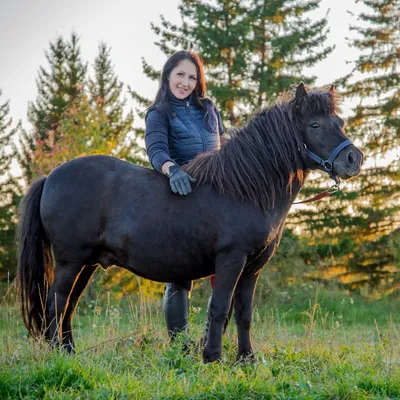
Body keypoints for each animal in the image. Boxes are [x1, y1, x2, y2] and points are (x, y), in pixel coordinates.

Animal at [18, 83, 362, 362]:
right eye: (314, 124)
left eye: (340, 123)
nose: (353, 160)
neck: (244, 190)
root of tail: (51, 177)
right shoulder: (231, 260)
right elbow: (219, 308)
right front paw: (212, 358)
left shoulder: (252, 268)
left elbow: (244, 314)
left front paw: (246, 359)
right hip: (70, 261)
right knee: (56, 302)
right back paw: (57, 354)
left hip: (87, 263)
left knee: (69, 304)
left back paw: (69, 351)